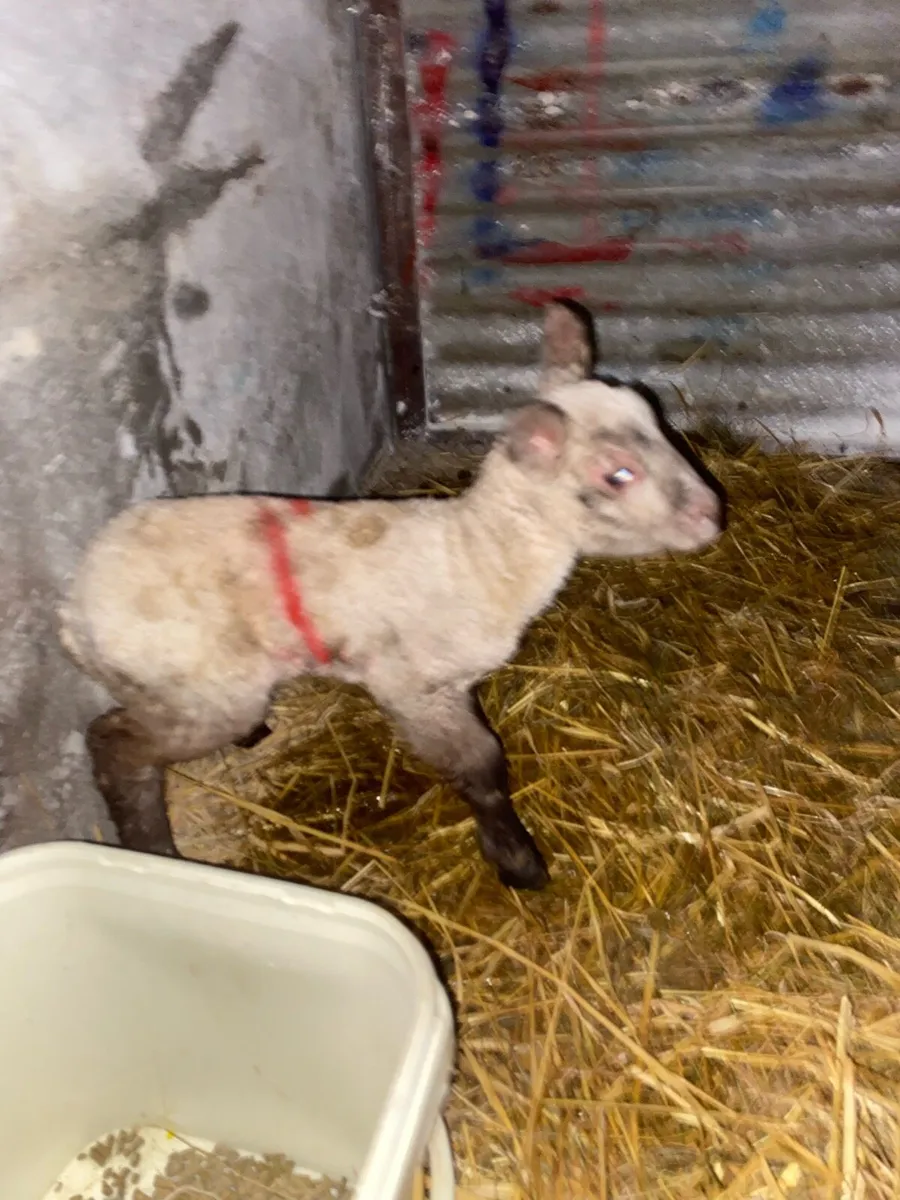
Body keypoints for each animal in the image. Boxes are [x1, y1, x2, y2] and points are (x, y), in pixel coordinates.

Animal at [58, 302, 723, 890]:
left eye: (655, 418)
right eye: (618, 475)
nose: (714, 514)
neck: (478, 555)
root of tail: (73, 607)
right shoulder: (415, 688)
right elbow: (481, 766)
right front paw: (517, 862)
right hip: (203, 692)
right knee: (115, 746)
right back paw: (153, 846)